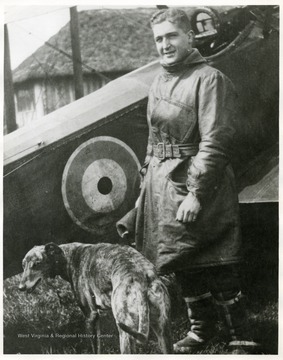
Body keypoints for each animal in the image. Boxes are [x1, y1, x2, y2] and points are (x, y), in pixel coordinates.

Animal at [18, 242, 173, 354]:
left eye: (37, 264)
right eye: (23, 265)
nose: (20, 287)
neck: (69, 256)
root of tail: (141, 276)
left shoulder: (91, 316)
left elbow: (95, 349)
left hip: (126, 333)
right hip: (162, 330)